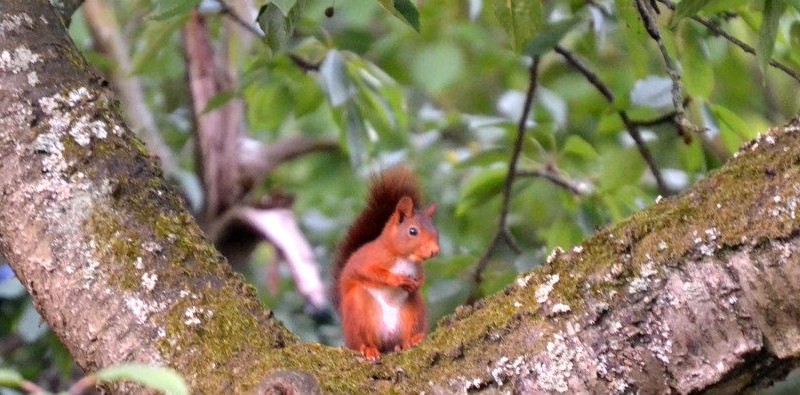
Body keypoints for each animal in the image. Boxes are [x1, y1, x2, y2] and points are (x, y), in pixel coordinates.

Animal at [332, 167, 444, 362]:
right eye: (412, 231)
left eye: (435, 230)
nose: (434, 251)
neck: (405, 258)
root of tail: (387, 340)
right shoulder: (367, 260)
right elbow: (370, 272)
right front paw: (397, 280)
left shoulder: (417, 270)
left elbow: (421, 278)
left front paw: (416, 284)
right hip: (358, 312)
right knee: (362, 342)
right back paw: (369, 349)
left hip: (413, 310)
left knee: (406, 335)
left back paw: (411, 340)